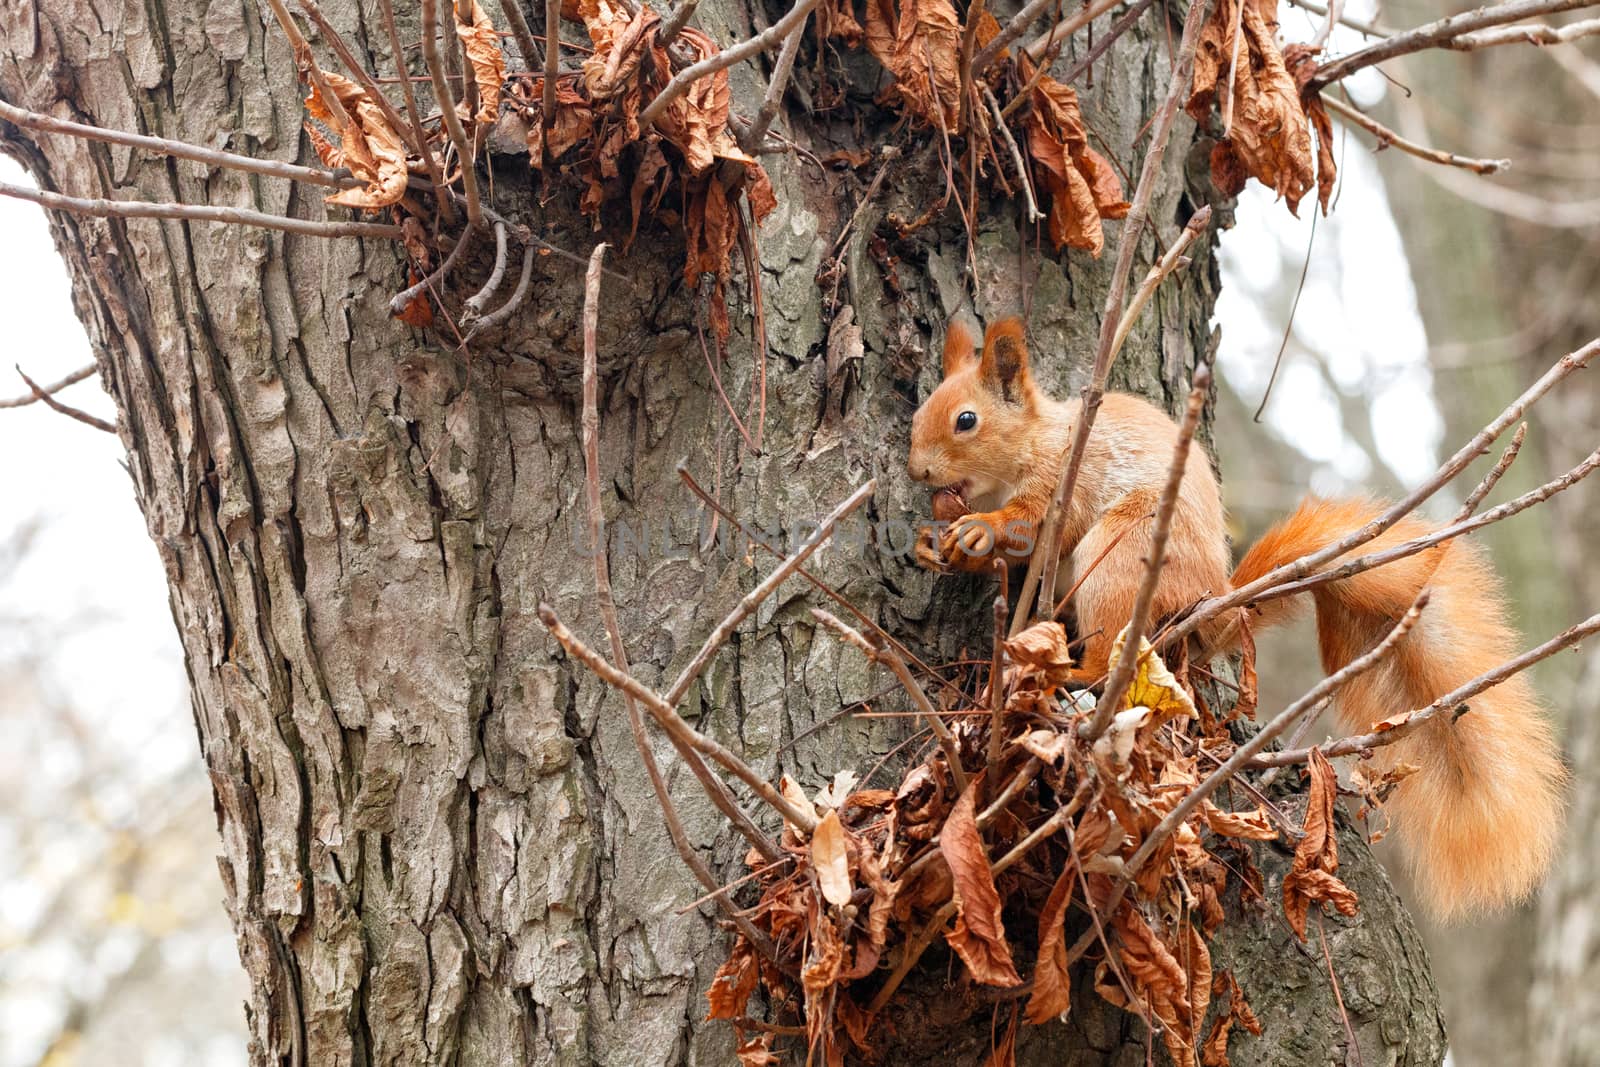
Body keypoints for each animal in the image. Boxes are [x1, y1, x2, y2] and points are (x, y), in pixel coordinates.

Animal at [908, 315, 1568, 921]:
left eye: (966, 420)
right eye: (919, 415)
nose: (917, 472)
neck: (1039, 439)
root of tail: (1212, 601)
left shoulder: (1061, 480)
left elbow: (1029, 524)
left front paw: (980, 529)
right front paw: (931, 543)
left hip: (1121, 558)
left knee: (1108, 658)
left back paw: (1072, 674)